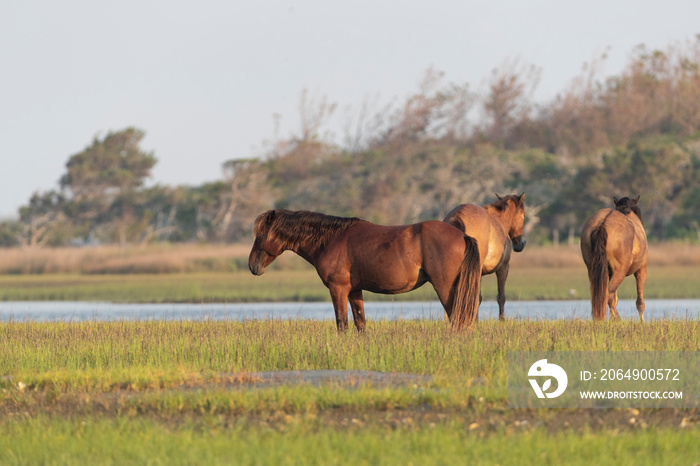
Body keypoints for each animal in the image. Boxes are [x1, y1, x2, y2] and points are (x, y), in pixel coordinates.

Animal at [246, 209, 482, 334]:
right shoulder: (354, 291)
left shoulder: (338, 289)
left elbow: (342, 323)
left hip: (445, 288)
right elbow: (360, 323)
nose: (252, 266)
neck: (331, 239)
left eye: (261, 235)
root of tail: (462, 235)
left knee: (458, 318)